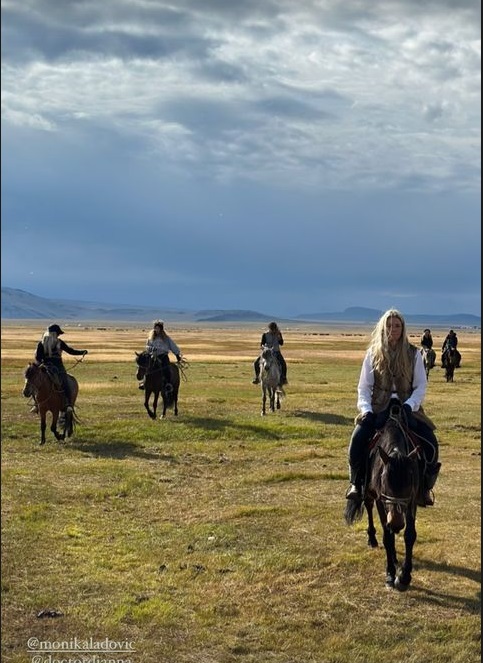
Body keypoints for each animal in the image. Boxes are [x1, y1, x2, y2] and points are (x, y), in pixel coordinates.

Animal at [346, 402, 422, 592]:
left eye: (409, 483)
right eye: (383, 481)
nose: (396, 523)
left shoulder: (411, 500)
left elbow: (410, 535)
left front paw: (404, 576)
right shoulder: (381, 500)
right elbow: (387, 537)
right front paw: (390, 574)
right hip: (368, 492)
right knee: (368, 506)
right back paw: (372, 539)